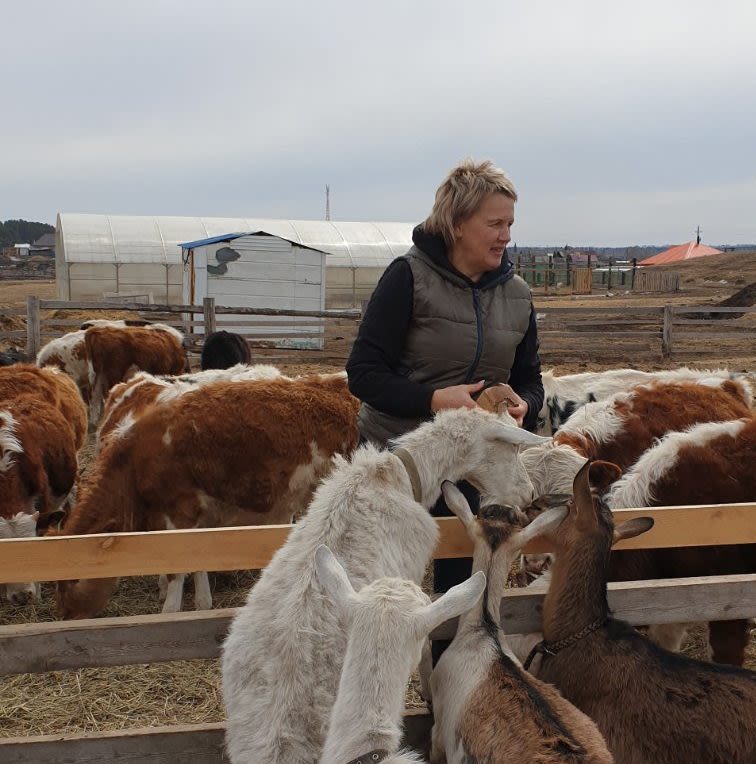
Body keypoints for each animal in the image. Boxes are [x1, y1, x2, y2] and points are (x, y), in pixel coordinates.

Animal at [52, 374, 360, 616]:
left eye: (69, 581)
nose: (65, 615)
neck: (136, 460)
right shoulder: (199, 515)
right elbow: (200, 557)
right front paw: (202, 601)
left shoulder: (178, 510)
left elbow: (178, 567)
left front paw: (170, 610)